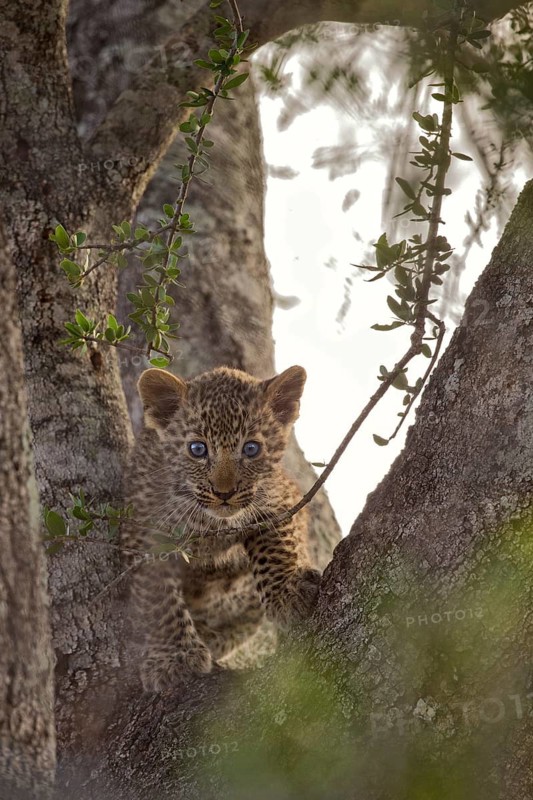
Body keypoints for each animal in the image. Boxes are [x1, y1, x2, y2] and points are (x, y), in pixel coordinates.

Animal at [121, 364, 321, 692]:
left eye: (251, 448)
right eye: (197, 449)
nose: (223, 493)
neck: (210, 522)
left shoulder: (283, 498)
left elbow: (276, 547)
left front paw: (286, 593)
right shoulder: (143, 533)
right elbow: (158, 599)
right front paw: (173, 659)